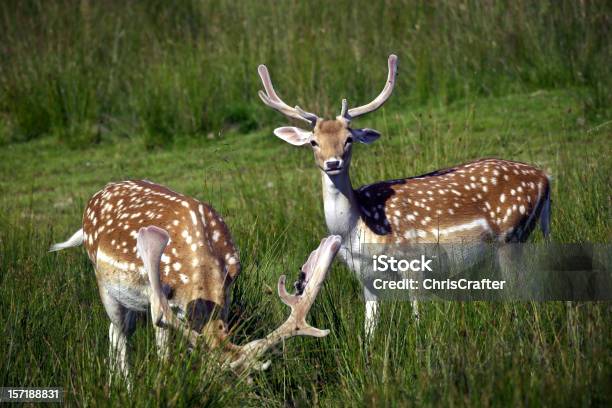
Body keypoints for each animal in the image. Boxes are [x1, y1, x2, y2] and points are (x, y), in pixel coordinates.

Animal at [49, 180, 342, 384]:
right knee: (118, 332)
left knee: (116, 331)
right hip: (106, 286)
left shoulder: (227, 292)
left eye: (249, 381)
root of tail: (95, 195)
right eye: (211, 379)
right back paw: (126, 389)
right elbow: (164, 355)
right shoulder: (160, 303)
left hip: (132, 303)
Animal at [256, 54, 552, 338]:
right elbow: (369, 328)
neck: (358, 226)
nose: (332, 163)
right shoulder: (364, 275)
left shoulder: (414, 260)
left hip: (511, 234)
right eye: (313, 142)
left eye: (349, 138)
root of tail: (545, 179)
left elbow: (418, 315)